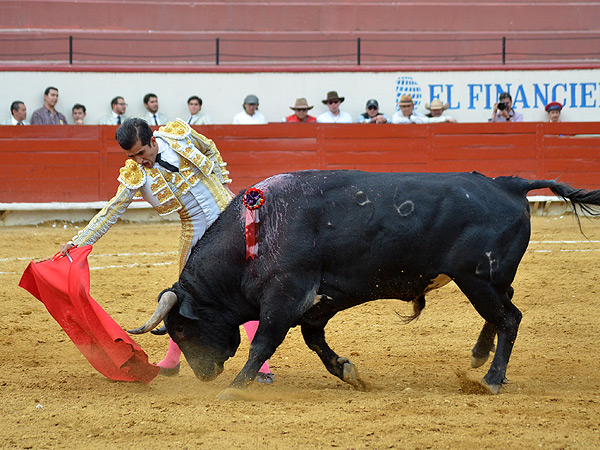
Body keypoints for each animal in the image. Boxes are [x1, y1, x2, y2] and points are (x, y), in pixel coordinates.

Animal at [129, 170, 600, 397]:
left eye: (181, 327)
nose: (204, 375)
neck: (259, 229)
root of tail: (508, 185)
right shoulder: (317, 304)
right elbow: (315, 343)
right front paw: (349, 372)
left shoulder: (284, 296)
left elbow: (263, 342)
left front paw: (235, 389)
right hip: (490, 279)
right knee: (507, 310)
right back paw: (479, 356)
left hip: (478, 279)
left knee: (510, 319)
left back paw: (492, 379)